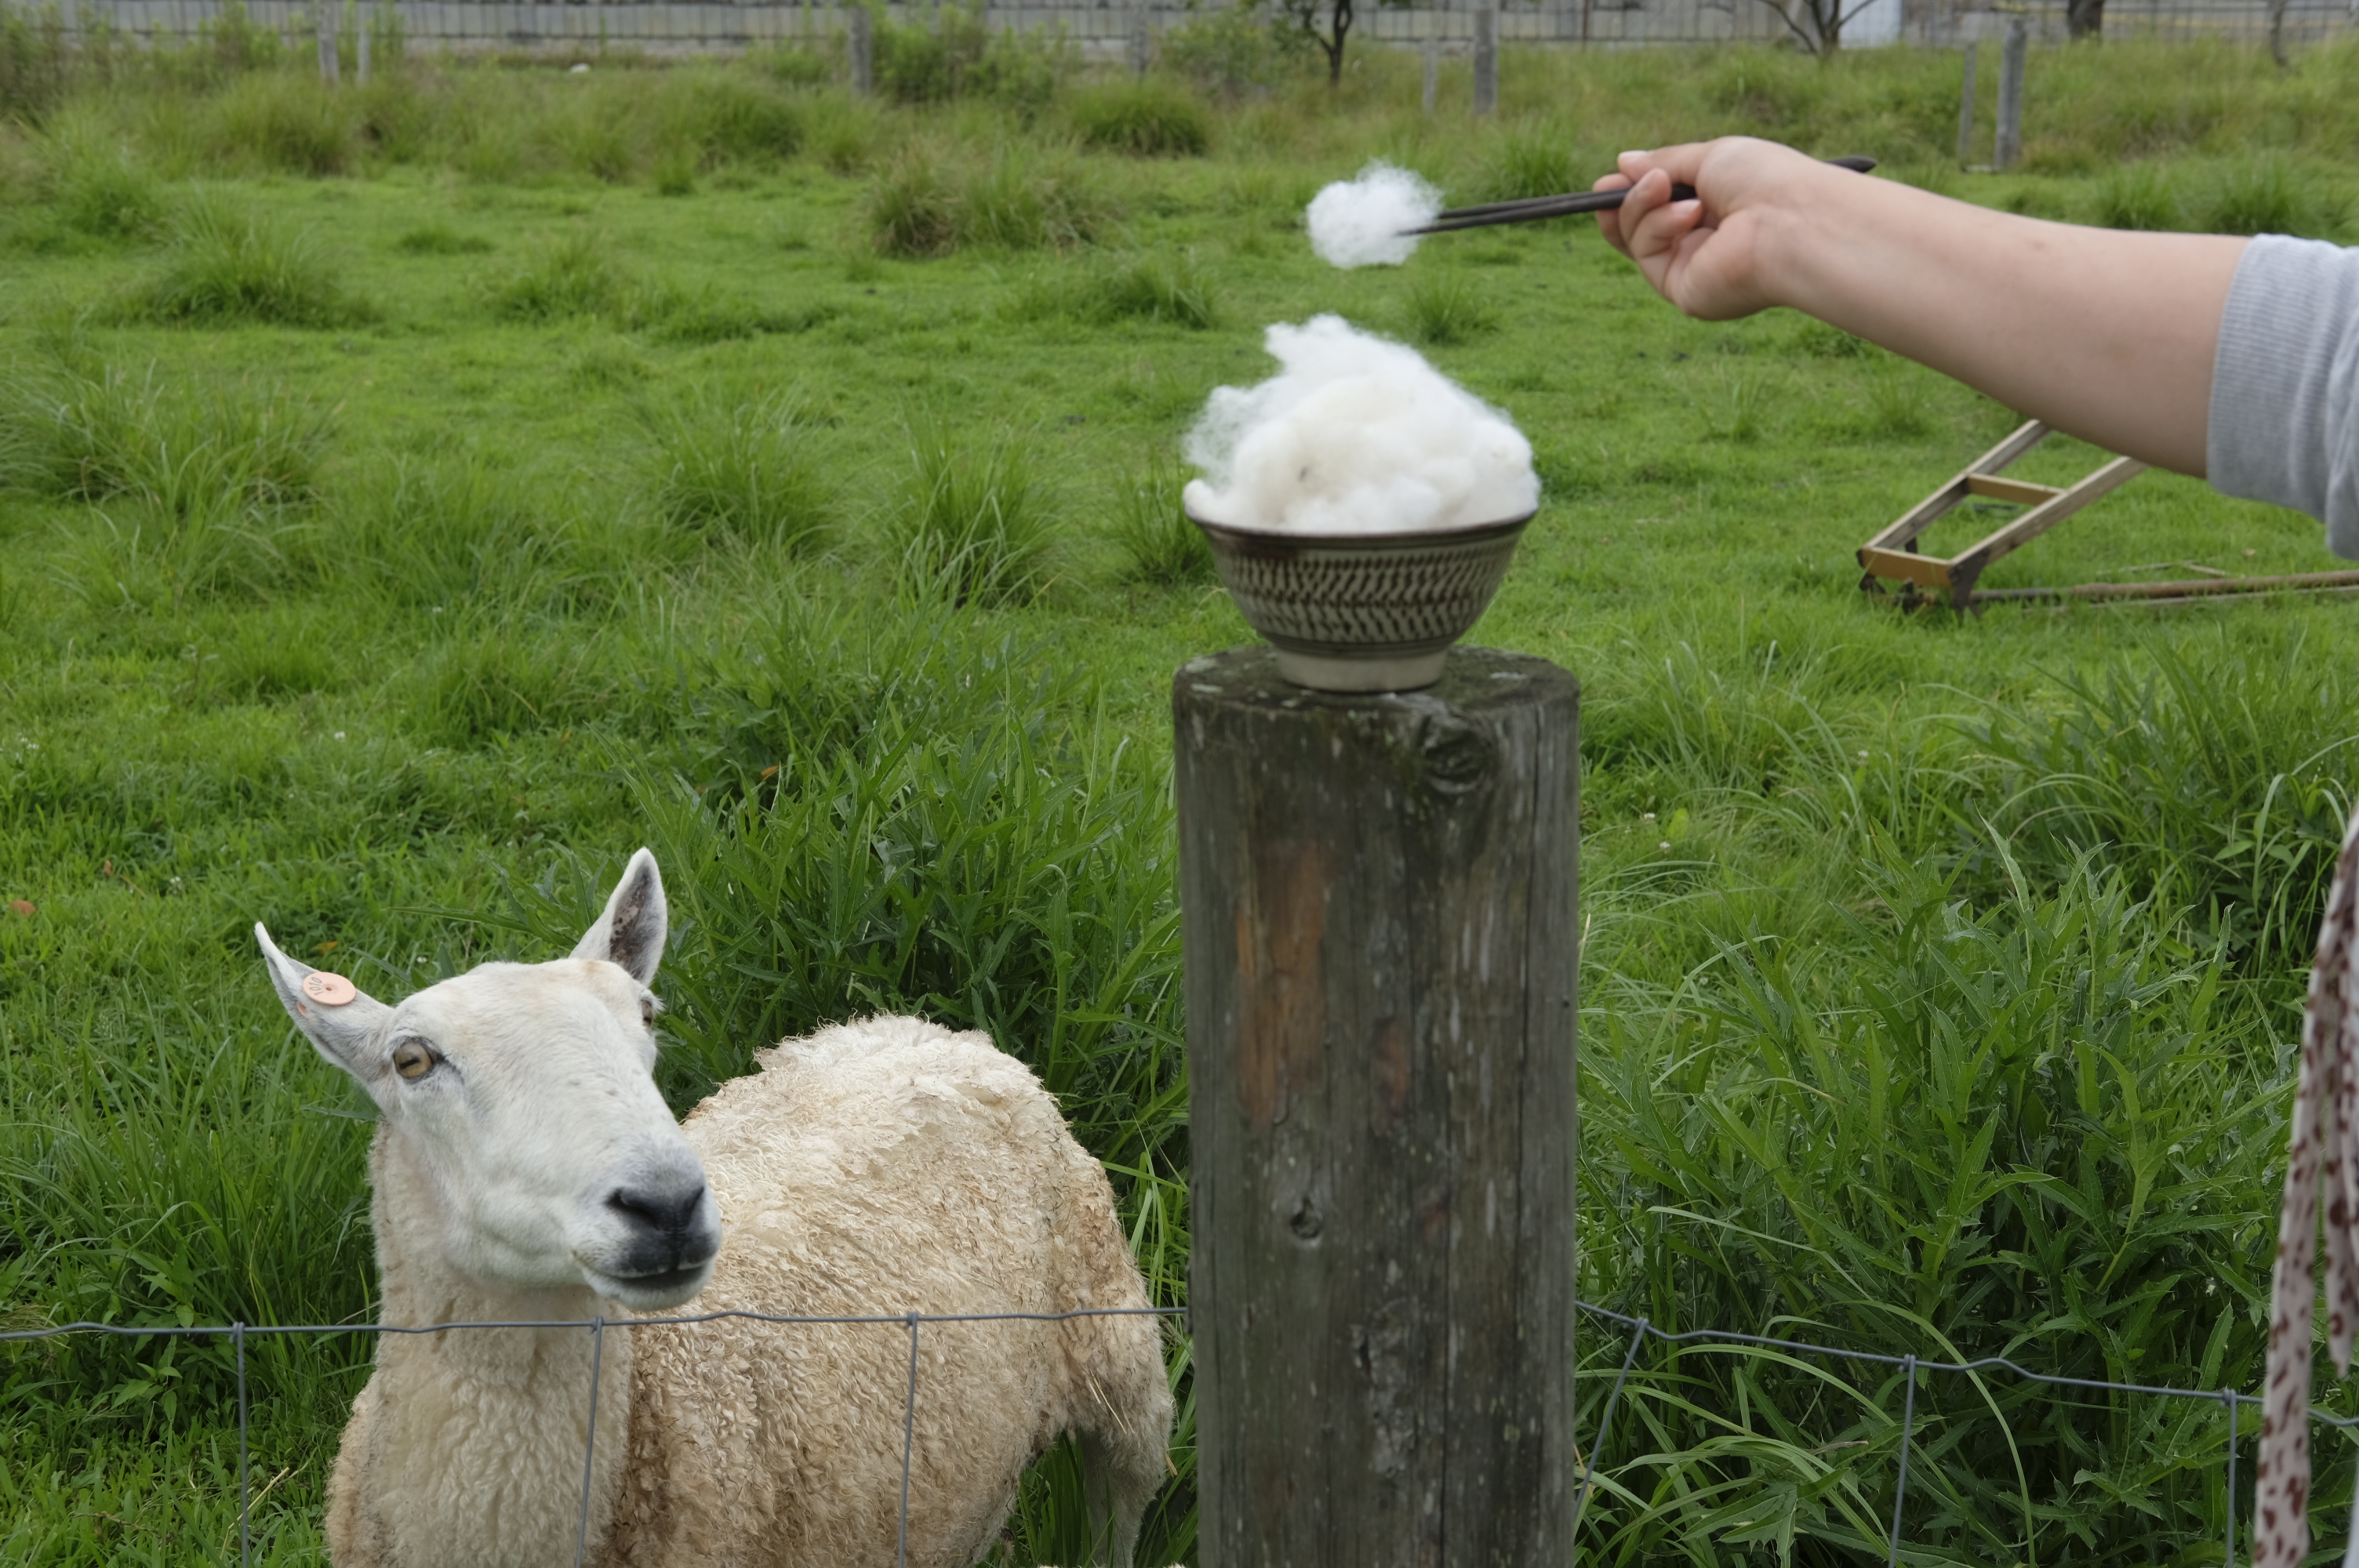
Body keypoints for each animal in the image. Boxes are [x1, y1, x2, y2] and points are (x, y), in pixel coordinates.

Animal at [258, 844, 1169, 1565]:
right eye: (412, 1060)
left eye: (646, 1015)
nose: (665, 1205)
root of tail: (920, 1029)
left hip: (1120, 1355)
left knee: (1118, 1511)